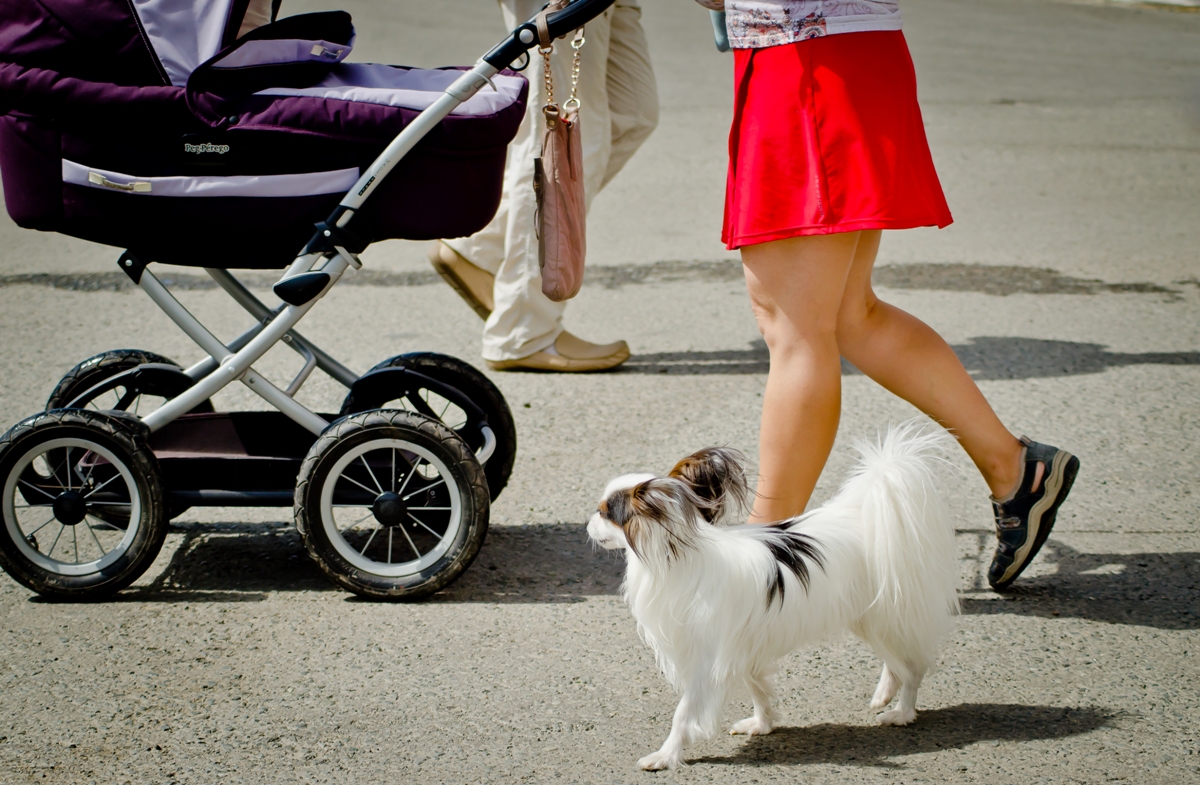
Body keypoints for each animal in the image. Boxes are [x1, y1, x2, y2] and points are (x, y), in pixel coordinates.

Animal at [585, 422, 960, 772]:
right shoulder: (744, 647)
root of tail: (863, 513)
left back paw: (903, 712)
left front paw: (665, 755)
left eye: (605, 512)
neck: (676, 558)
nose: (587, 523)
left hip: (883, 617)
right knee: (899, 662)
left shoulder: (706, 660)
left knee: (912, 667)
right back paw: (885, 694)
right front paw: (763, 724)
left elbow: (683, 713)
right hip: (868, 620)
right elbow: (759, 689)